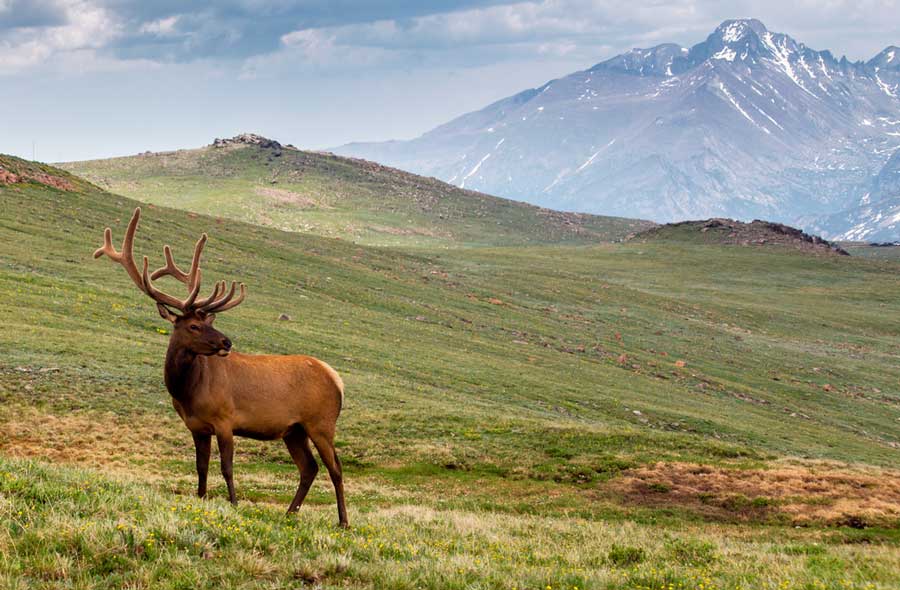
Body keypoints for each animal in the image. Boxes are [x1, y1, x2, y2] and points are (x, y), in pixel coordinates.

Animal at [94, 208, 348, 527]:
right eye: (193, 325)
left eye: (207, 322)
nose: (227, 341)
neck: (187, 393)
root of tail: (336, 378)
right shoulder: (196, 427)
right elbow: (201, 466)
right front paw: (201, 498)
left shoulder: (226, 420)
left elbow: (227, 466)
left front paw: (234, 503)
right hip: (294, 430)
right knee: (309, 467)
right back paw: (290, 513)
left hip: (322, 423)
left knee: (335, 468)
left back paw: (343, 521)